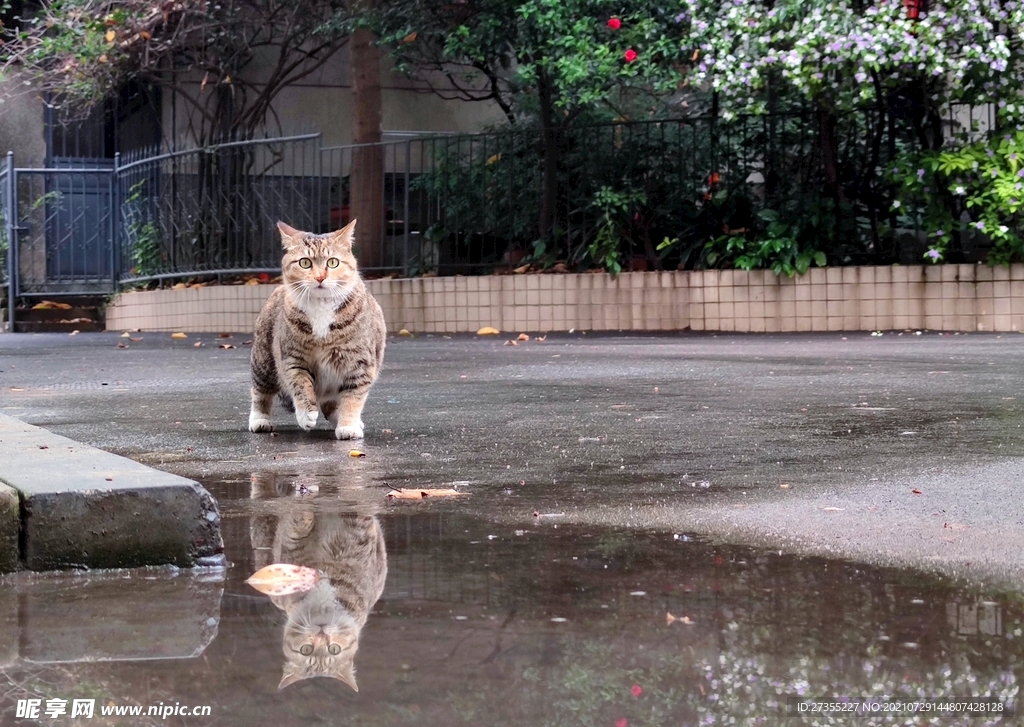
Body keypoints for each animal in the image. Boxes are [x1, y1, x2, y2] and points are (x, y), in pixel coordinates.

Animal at [249, 219, 385, 442]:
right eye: (305, 263)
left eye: (333, 262)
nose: (320, 277)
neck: (321, 307)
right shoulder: (293, 358)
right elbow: (301, 386)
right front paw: (306, 414)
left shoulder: (360, 363)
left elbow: (353, 398)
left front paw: (349, 425)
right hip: (264, 360)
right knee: (260, 391)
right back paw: (259, 420)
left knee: (333, 403)